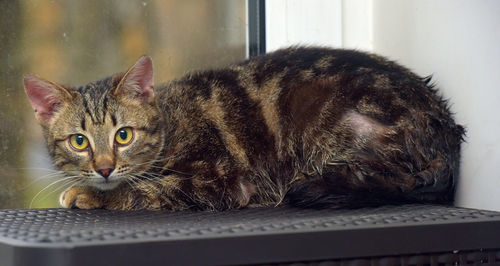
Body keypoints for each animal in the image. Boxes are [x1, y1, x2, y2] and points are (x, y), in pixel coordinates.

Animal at [21, 47, 462, 210]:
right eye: (80, 141)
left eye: (123, 135)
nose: (104, 168)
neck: (170, 122)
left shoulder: (218, 179)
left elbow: (144, 190)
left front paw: (90, 194)